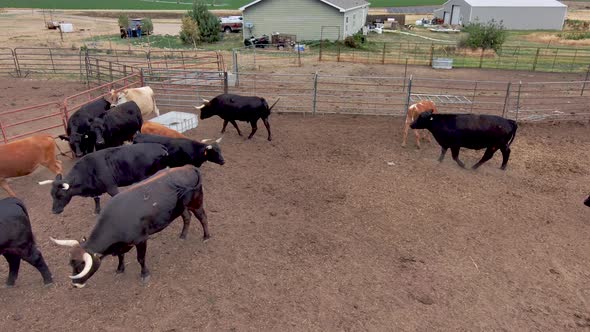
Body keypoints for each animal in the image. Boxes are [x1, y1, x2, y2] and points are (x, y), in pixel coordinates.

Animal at [39, 143, 169, 215]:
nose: (54, 211)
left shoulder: (111, 187)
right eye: (52, 195)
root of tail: (160, 146)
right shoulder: (95, 190)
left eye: (60, 195)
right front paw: (97, 211)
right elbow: (96, 199)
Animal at [50, 166, 210, 288]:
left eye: (81, 266)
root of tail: (189, 167)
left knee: (202, 217)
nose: (75, 284)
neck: (116, 221)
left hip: (196, 202)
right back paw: (183, 235)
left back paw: (206, 236)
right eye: (71, 264)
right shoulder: (121, 245)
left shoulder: (141, 240)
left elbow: (141, 258)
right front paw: (120, 269)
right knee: (187, 217)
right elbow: (121, 256)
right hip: (180, 207)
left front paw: (144, 274)